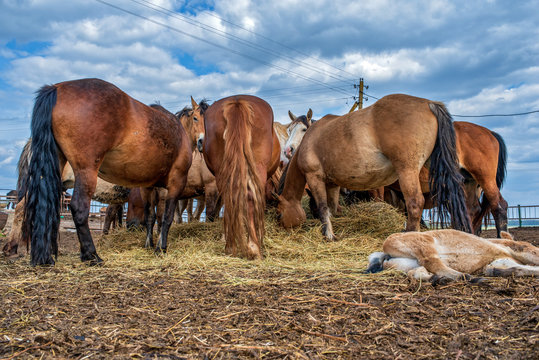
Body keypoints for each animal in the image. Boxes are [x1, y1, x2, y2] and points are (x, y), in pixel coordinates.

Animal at [20, 79, 192, 264]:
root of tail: (56, 89)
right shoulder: (175, 183)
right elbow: (166, 218)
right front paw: (161, 248)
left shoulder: (148, 187)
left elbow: (151, 217)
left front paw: (150, 245)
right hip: (86, 172)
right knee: (79, 208)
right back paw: (91, 255)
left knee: (45, 207)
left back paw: (45, 258)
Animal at [201, 95, 280, 258]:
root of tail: (237, 101)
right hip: (258, 168)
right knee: (251, 198)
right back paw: (254, 247)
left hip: (223, 172)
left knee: (229, 197)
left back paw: (230, 246)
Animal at [278, 94, 472, 238]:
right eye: (289, 130)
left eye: (279, 212)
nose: (287, 150)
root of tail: (429, 104)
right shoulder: (332, 184)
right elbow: (332, 208)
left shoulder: (314, 177)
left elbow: (323, 207)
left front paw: (328, 235)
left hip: (407, 171)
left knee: (415, 203)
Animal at [368, 229, 539, 282]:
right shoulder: (520, 248)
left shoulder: (500, 260)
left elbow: (519, 268)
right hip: (424, 242)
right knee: (433, 262)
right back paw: (470, 278)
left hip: (406, 263)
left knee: (418, 272)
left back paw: (437, 279)